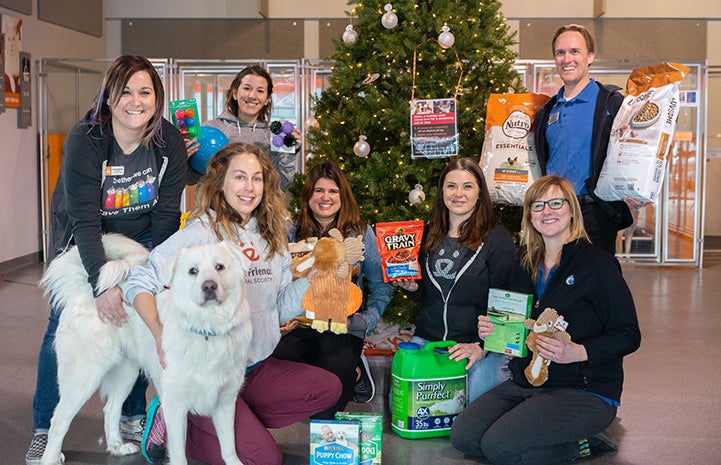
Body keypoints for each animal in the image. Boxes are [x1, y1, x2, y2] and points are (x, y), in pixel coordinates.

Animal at [40, 236, 253, 464]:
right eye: (193, 271)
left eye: (219, 267)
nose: (210, 286)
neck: (207, 330)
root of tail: (86, 290)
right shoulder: (175, 403)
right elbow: (179, 453)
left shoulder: (225, 401)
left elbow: (229, 447)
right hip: (83, 378)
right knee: (58, 421)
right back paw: (50, 458)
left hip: (126, 374)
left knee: (111, 410)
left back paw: (117, 447)